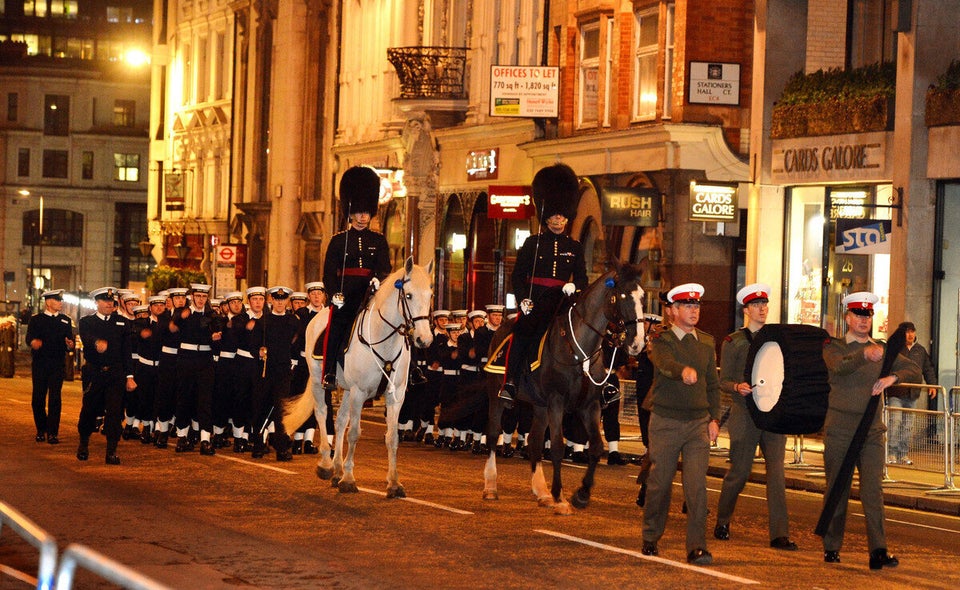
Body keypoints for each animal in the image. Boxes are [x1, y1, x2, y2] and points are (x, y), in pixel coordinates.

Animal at [282, 258, 432, 500]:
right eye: (408, 295)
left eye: (430, 294)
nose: (424, 339)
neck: (385, 341)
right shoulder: (360, 393)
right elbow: (354, 433)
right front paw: (349, 480)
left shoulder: (395, 395)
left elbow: (392, 437)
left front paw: (394, 483)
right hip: (319, 381)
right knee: (322, 413)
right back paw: (326, 465)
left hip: (347, 390)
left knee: (340, 421)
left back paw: (336, 470)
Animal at [480, 262, 644, 516]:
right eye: (623, 296)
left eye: (643, 296)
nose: (637, 343)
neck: (579, 350)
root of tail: (501, 327)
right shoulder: (557, 401)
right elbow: (557, 447)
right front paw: (560, 497)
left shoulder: (589, 405)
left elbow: (596, 446)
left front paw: (581, 494)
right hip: (497, 395)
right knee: (492, 435)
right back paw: (491, 487)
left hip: (539, 405)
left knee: (535, 442)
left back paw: (541, 492)